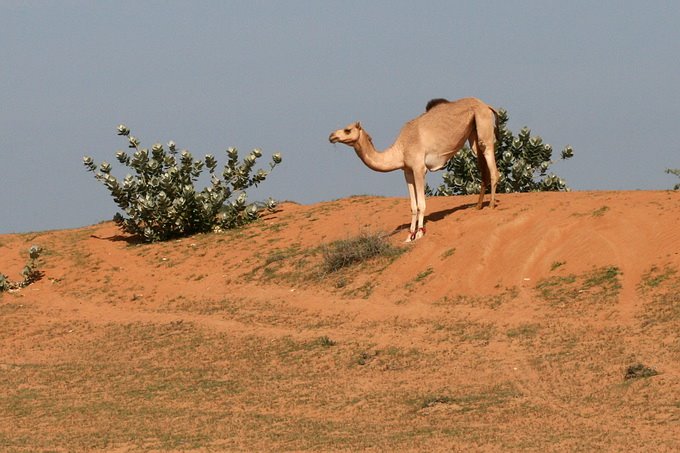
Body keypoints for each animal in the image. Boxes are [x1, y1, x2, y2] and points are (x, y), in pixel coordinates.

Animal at [330, 97, 500, 242]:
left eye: (347, 130)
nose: (331, 136)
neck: (401, 149)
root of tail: (487, 105)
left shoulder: (419, 168)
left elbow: (421, 204)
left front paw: (419, 233)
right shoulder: (407, 171)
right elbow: (413, 206)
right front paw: (409, 235)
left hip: (483, 124)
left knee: (492, 166)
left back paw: (491, 205)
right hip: (473, 134)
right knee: (482, 165)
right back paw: (478, 206)